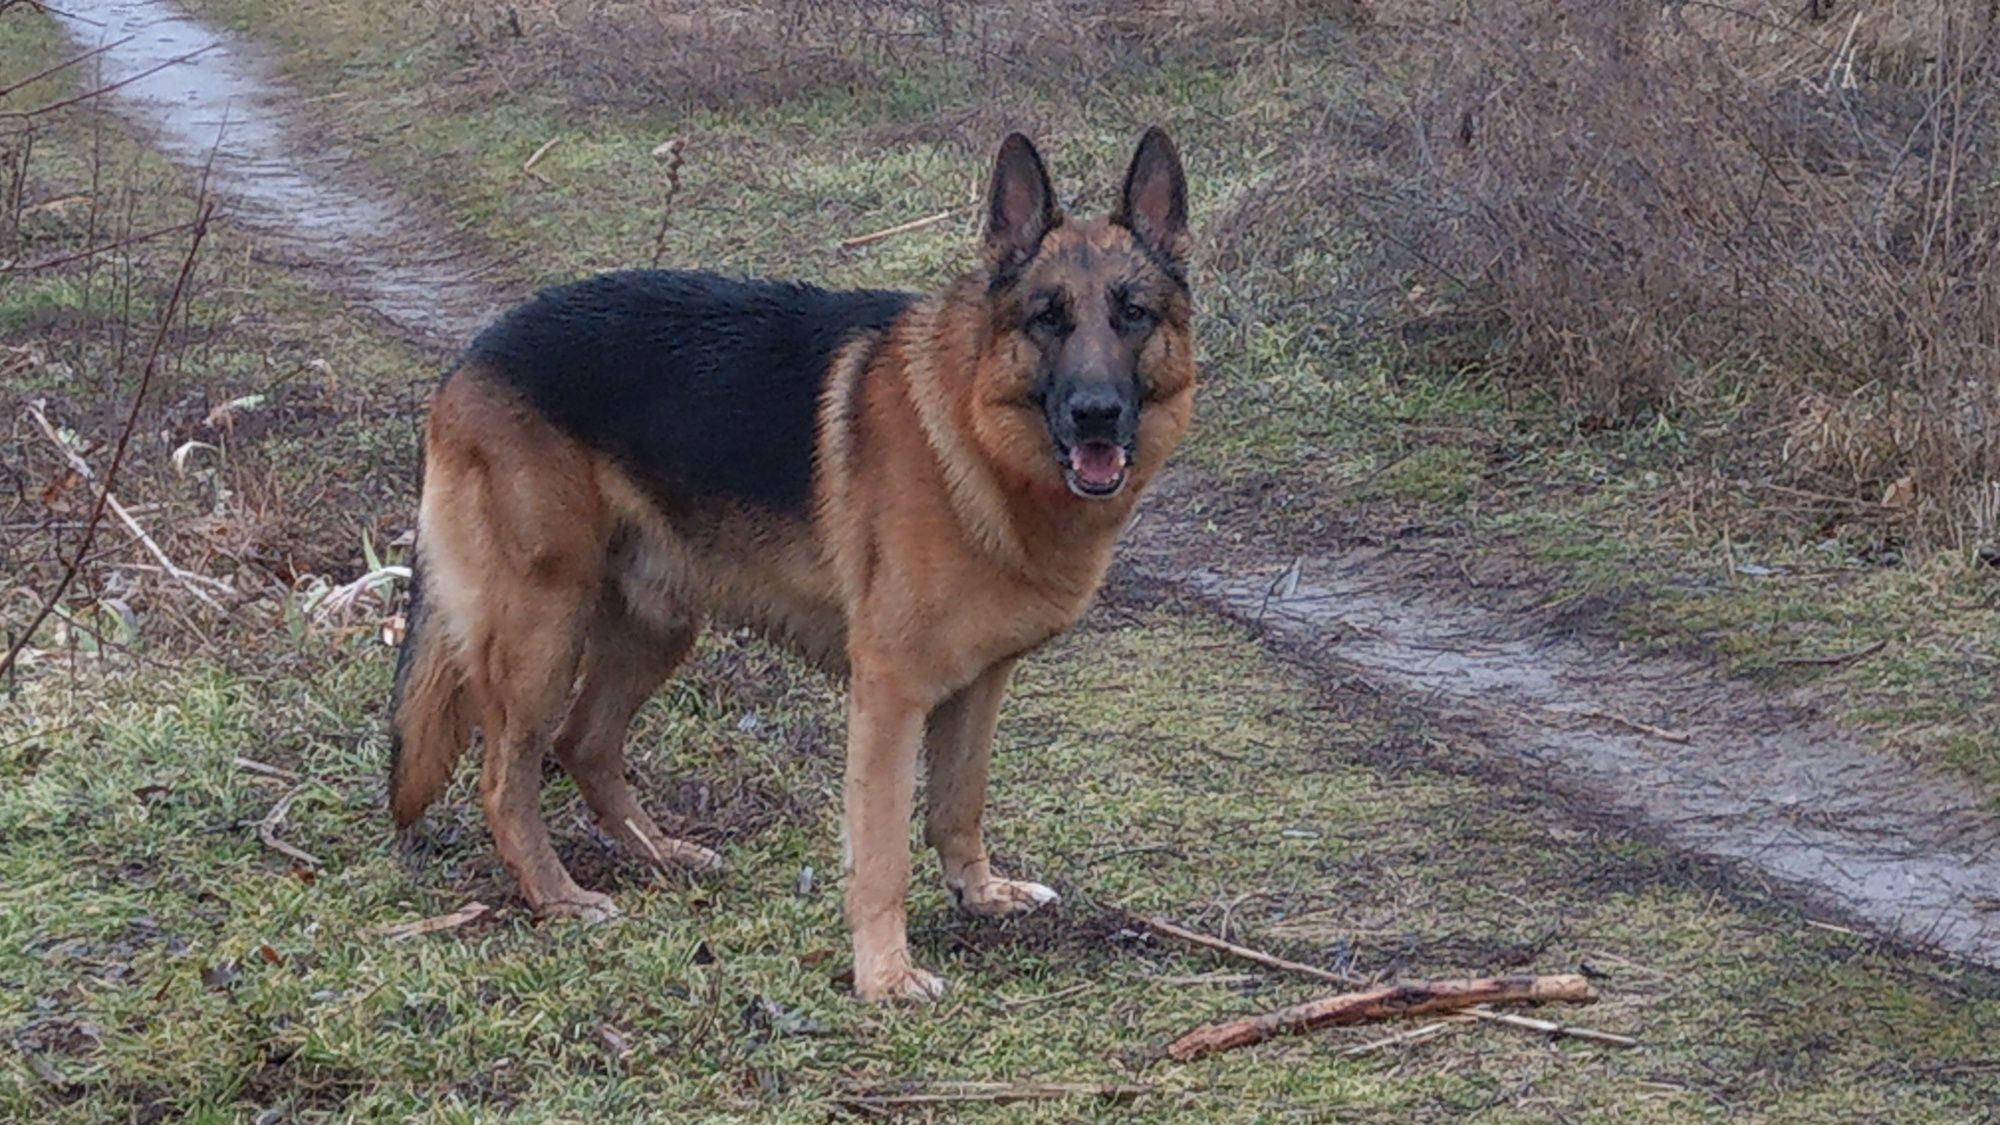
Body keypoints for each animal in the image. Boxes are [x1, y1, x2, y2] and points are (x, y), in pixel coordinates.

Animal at [398, 127, 1192, 992]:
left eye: (1133, 315)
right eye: (1048, 318)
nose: (1096, 414)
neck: (972, 431)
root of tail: (477, 351)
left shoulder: (980, 685)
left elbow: (959, 804)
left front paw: (980, 892)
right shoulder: (891, 694)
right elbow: (882, 850)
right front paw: (885, 975)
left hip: (655, 626)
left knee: (586, 743)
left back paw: (658, 852)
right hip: (543, 636)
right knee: (506, 780)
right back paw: (558, 896)